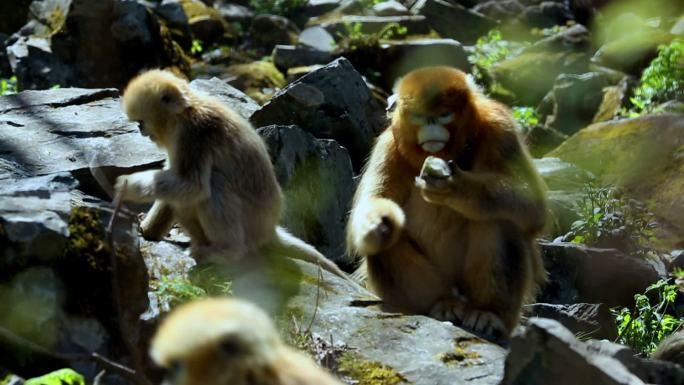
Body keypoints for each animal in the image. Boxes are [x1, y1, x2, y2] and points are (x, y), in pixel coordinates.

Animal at [344, 66, 548, 336]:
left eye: (444, 115)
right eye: (420, 117)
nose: (431, 125)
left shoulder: (499, 127)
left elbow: (533, 206)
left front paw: (453, 187)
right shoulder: (389, 147)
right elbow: (374, 205)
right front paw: (376, 223)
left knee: (498, 219)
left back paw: (488, 312)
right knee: (387, 239)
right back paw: (442, 303)